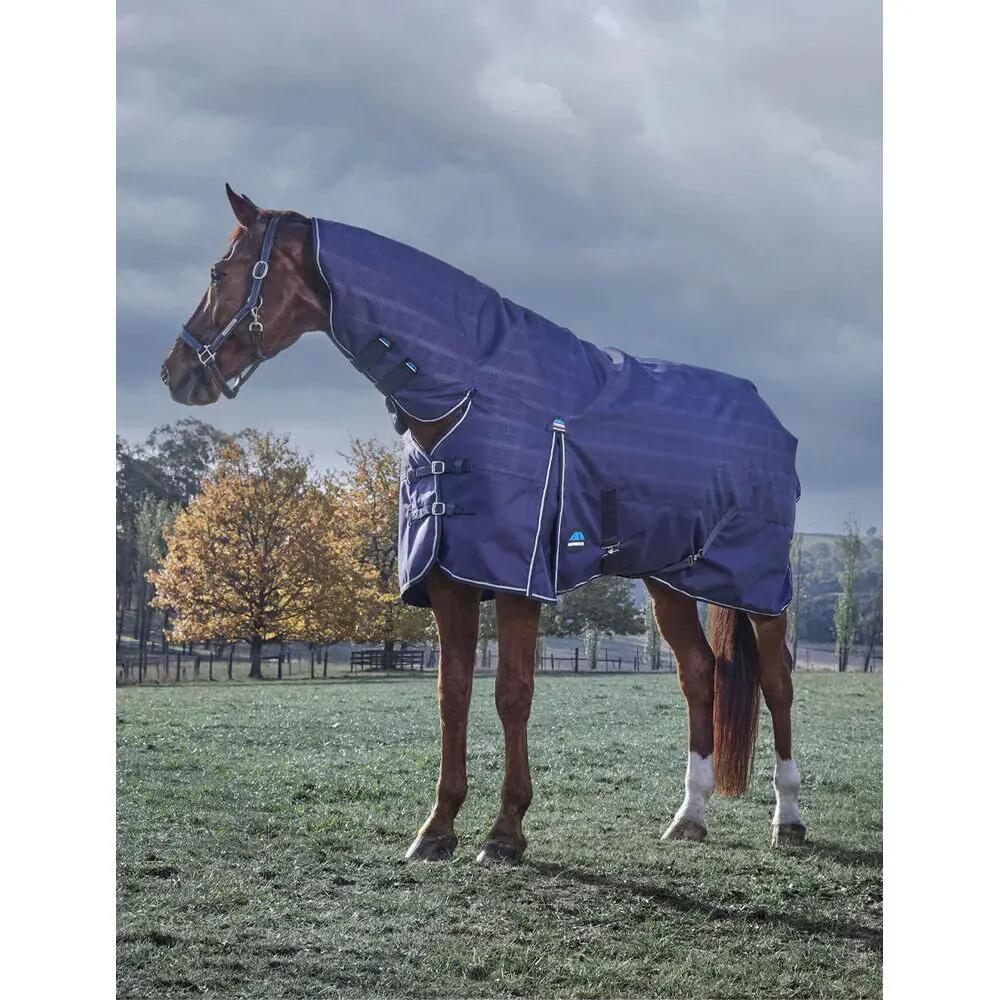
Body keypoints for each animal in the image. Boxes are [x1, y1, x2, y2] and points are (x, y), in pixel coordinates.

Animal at [160, 184, 806, 863]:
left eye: (218, 272)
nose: (175, 372)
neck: (470, 390)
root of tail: (767, 418)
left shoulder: (517, 582)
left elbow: (512, 694)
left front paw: (505, 831)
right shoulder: (448, 581)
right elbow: (454, 697)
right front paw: (437, 828)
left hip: (758, 589)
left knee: (777, 682)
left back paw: (787, 819)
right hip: (669, 581)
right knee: (699, 674)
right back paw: (690, 815)